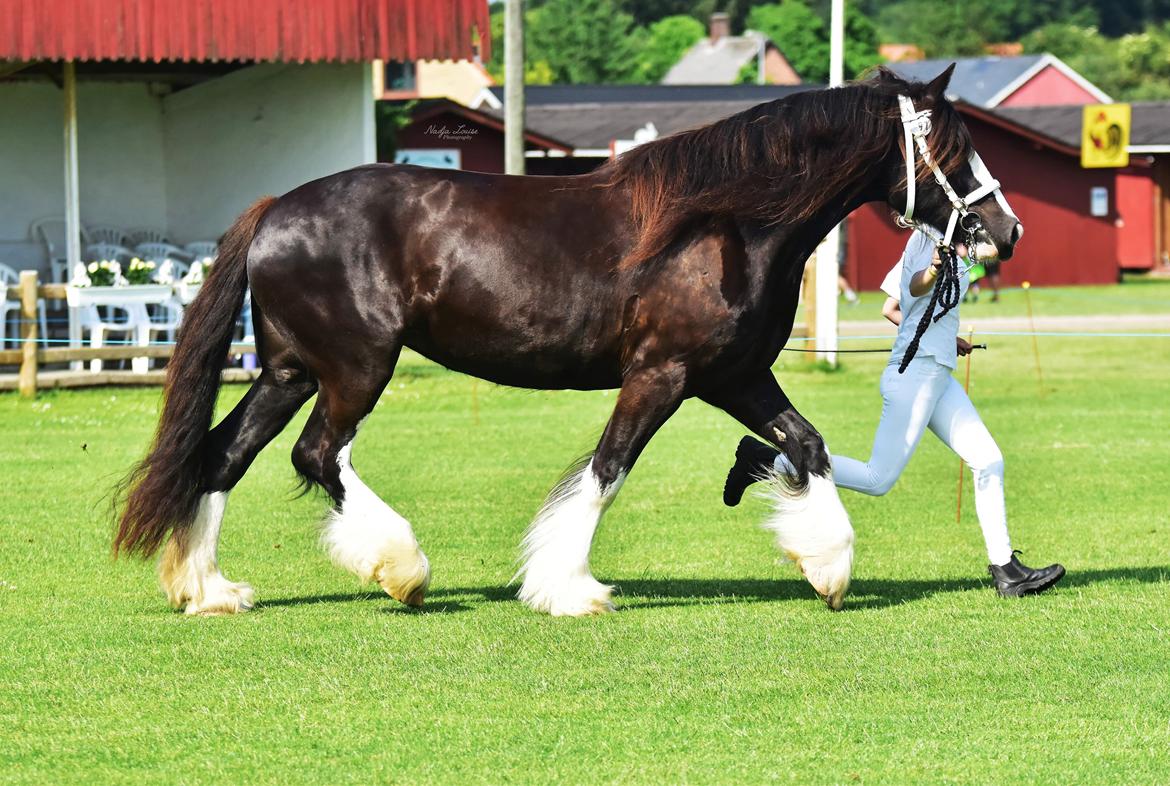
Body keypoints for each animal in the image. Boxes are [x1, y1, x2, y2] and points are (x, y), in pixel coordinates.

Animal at [114, 66, 1020, 612]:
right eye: (953, 146)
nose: (1005, 232)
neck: (725, 225)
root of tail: (277, 209)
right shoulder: (662, 375)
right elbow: (607, 470)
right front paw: (568, 587)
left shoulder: (733, 376)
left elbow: (807, 443)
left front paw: (828, 566)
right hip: (354, 368)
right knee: (316, 455)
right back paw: (403, 570)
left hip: (289, 370)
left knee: (223, 456)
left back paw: (210, 588)